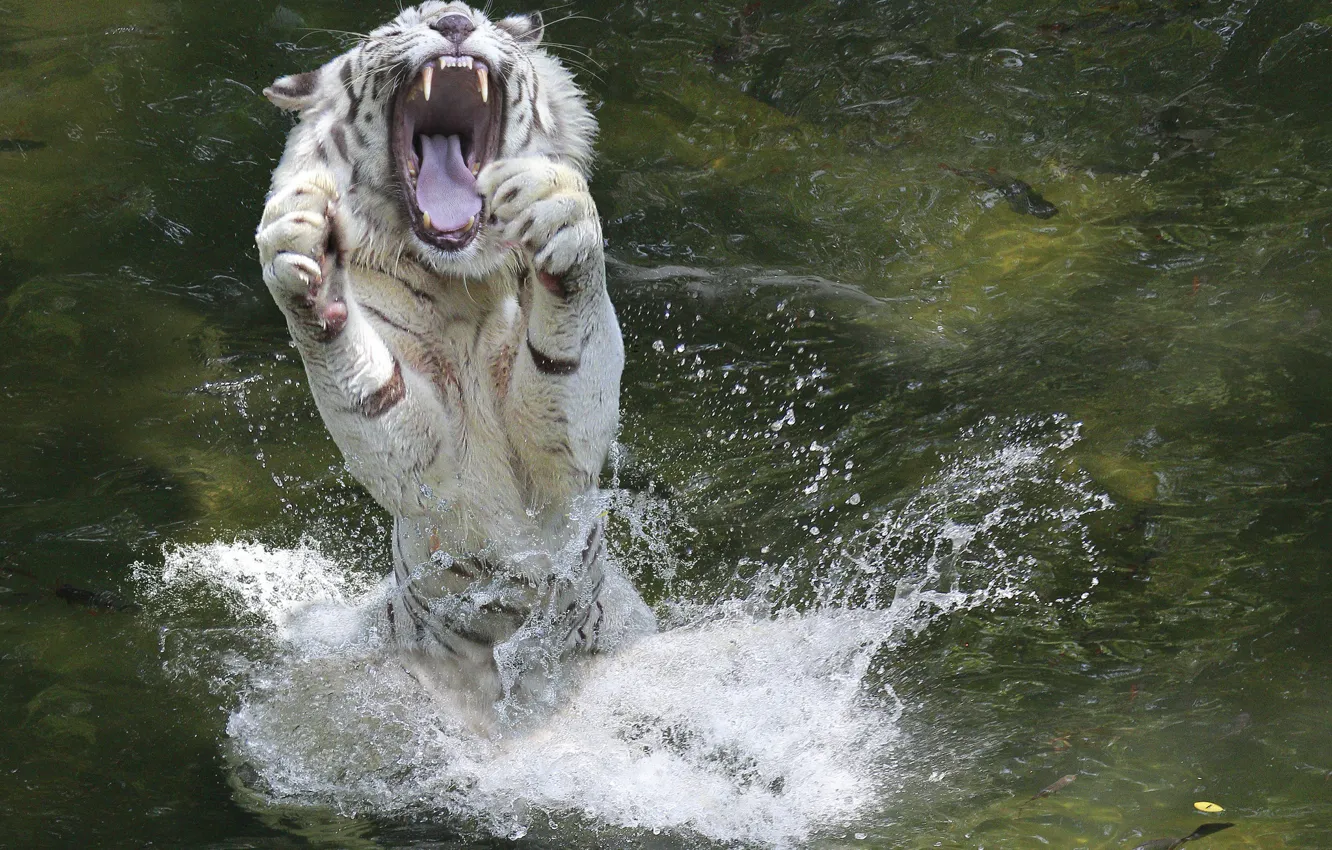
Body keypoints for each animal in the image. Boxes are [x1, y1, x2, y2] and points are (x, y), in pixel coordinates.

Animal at [254, 2, 655, 709]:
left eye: (476, 15)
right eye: (399, 25)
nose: (453, 21)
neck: (461, 280)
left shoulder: (567, 457)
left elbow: (571, 360)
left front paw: (558, 215)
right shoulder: (425, 469)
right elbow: (374, 398)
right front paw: (307, 256)